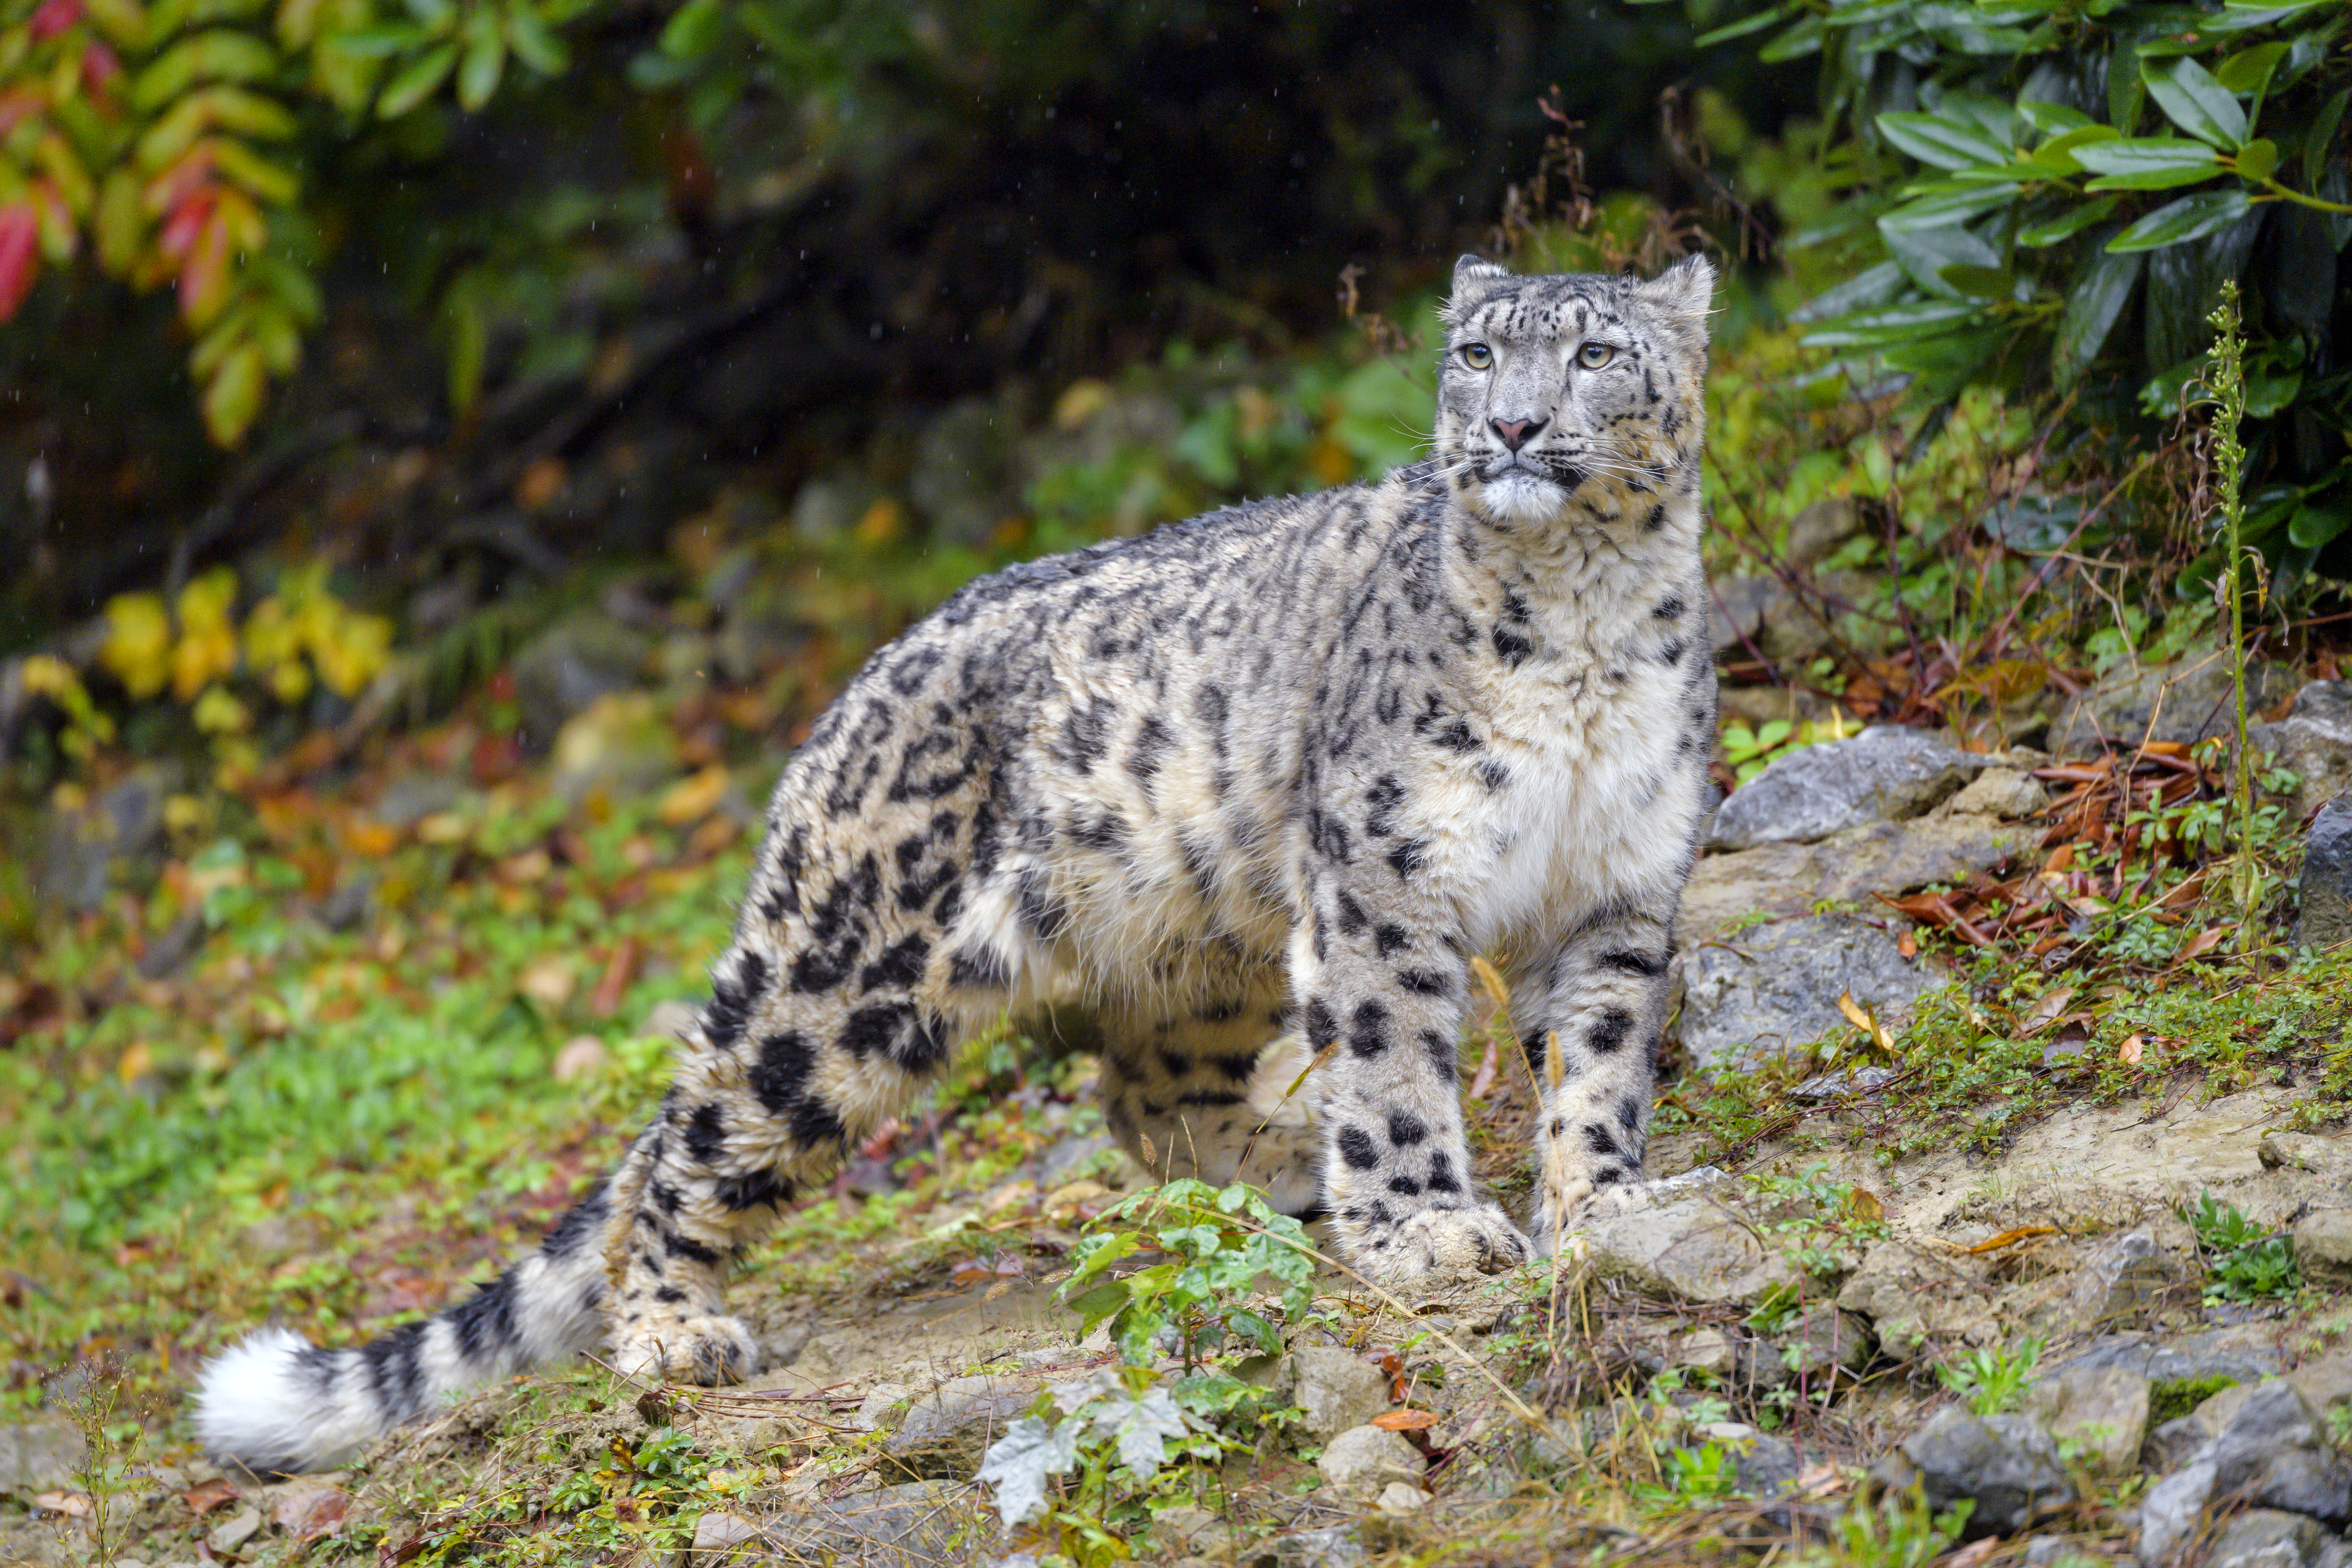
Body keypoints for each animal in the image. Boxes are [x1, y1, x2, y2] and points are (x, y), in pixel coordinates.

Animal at [197, 251, 1712, 1476]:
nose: (1512, 424)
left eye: (1593, 352)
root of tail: (838, 706)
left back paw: (1284, 1160)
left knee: (1140, 1090)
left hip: (1199, 936)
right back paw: (675, 1332)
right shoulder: (1384, 872)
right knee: (693, 1139)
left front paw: (1608, 1205)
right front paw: (1427, 1232)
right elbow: (1394, 1061)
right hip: (844, 982)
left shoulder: (1623, 882)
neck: (1582, 623)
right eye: (1477, 354)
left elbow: (1600, 1056)